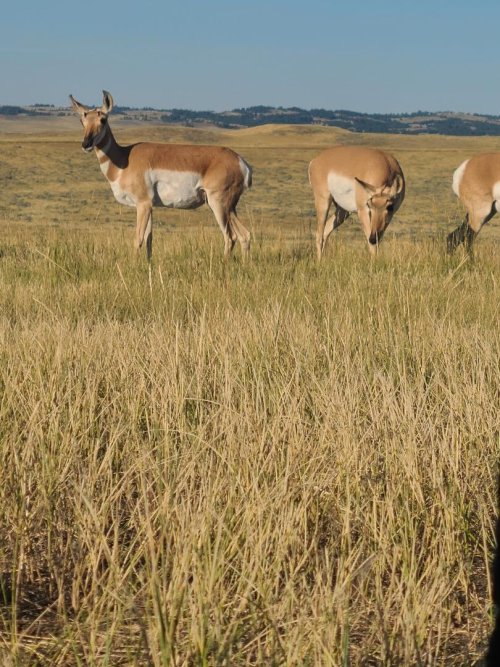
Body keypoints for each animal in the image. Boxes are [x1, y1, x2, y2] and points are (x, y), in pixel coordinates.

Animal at [69, 91, 252, 261]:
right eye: (82, 120)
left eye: (103, 119)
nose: (86, 144)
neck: (124, 158)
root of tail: (240, 161)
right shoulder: (150, 207)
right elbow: (149, 240)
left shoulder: (143, 204)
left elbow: (138, 239)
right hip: (229, 208)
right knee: (245, 235)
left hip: (219, 205)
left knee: (230, 236)